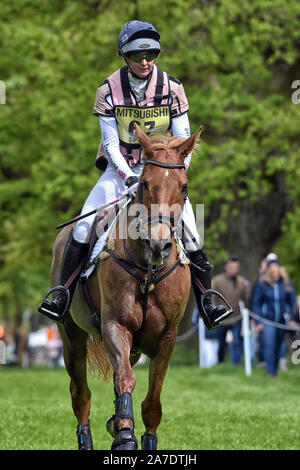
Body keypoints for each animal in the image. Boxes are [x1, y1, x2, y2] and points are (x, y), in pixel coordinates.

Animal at [51, 123, 202, 450]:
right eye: (144, 183)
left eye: (184, 187)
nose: (159, 245)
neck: (147, 272)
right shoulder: (115, 325)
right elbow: (124, 379)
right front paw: (123, 434)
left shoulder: (167, 337)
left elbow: (152, 402)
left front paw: (138, 435)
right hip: (71, 334)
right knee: (80, 394)